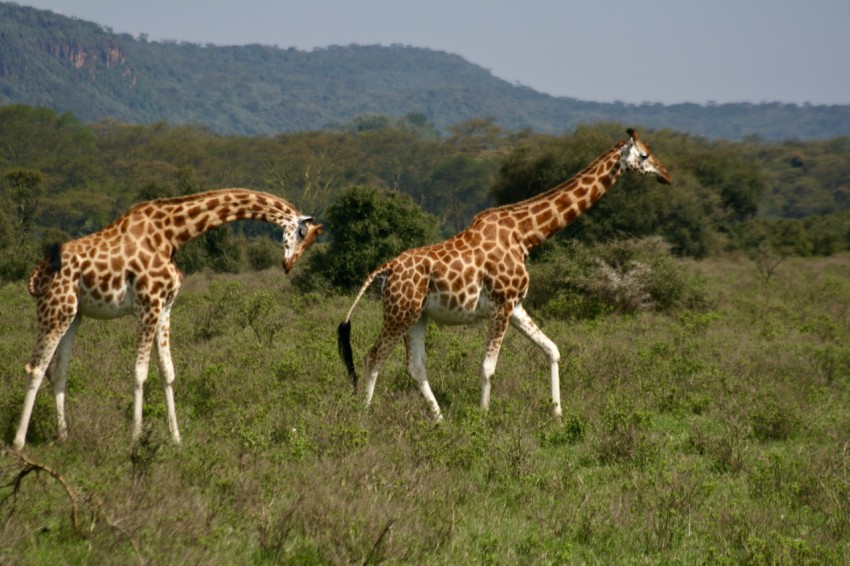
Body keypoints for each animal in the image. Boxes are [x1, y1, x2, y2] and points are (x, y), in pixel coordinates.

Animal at [13, 188, 323, 450]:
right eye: (301, 232)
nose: (288, 265)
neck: (173, 234)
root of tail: (37, 272)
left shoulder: (165, 308)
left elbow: (167, 371)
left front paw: (176, 438)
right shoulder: (148, 305)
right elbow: (140, 372)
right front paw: (136, 438)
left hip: (73, 314)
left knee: (58, 370)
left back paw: (64, 436)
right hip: (55, 308)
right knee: (35, 367)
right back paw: (18, 442)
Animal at [338, 129, 671, 420]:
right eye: (644, 155)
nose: (666, 175)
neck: (526, 235)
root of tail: (385, 270)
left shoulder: (516, 305)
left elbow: (552, 350)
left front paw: (558, 415)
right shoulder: (502, 304)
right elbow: (488, 367)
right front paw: (484, 419)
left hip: (417, 316)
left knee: (415, 367)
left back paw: (440, 420)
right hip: (400, 312)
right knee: (373, 356)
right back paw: (364, 415)